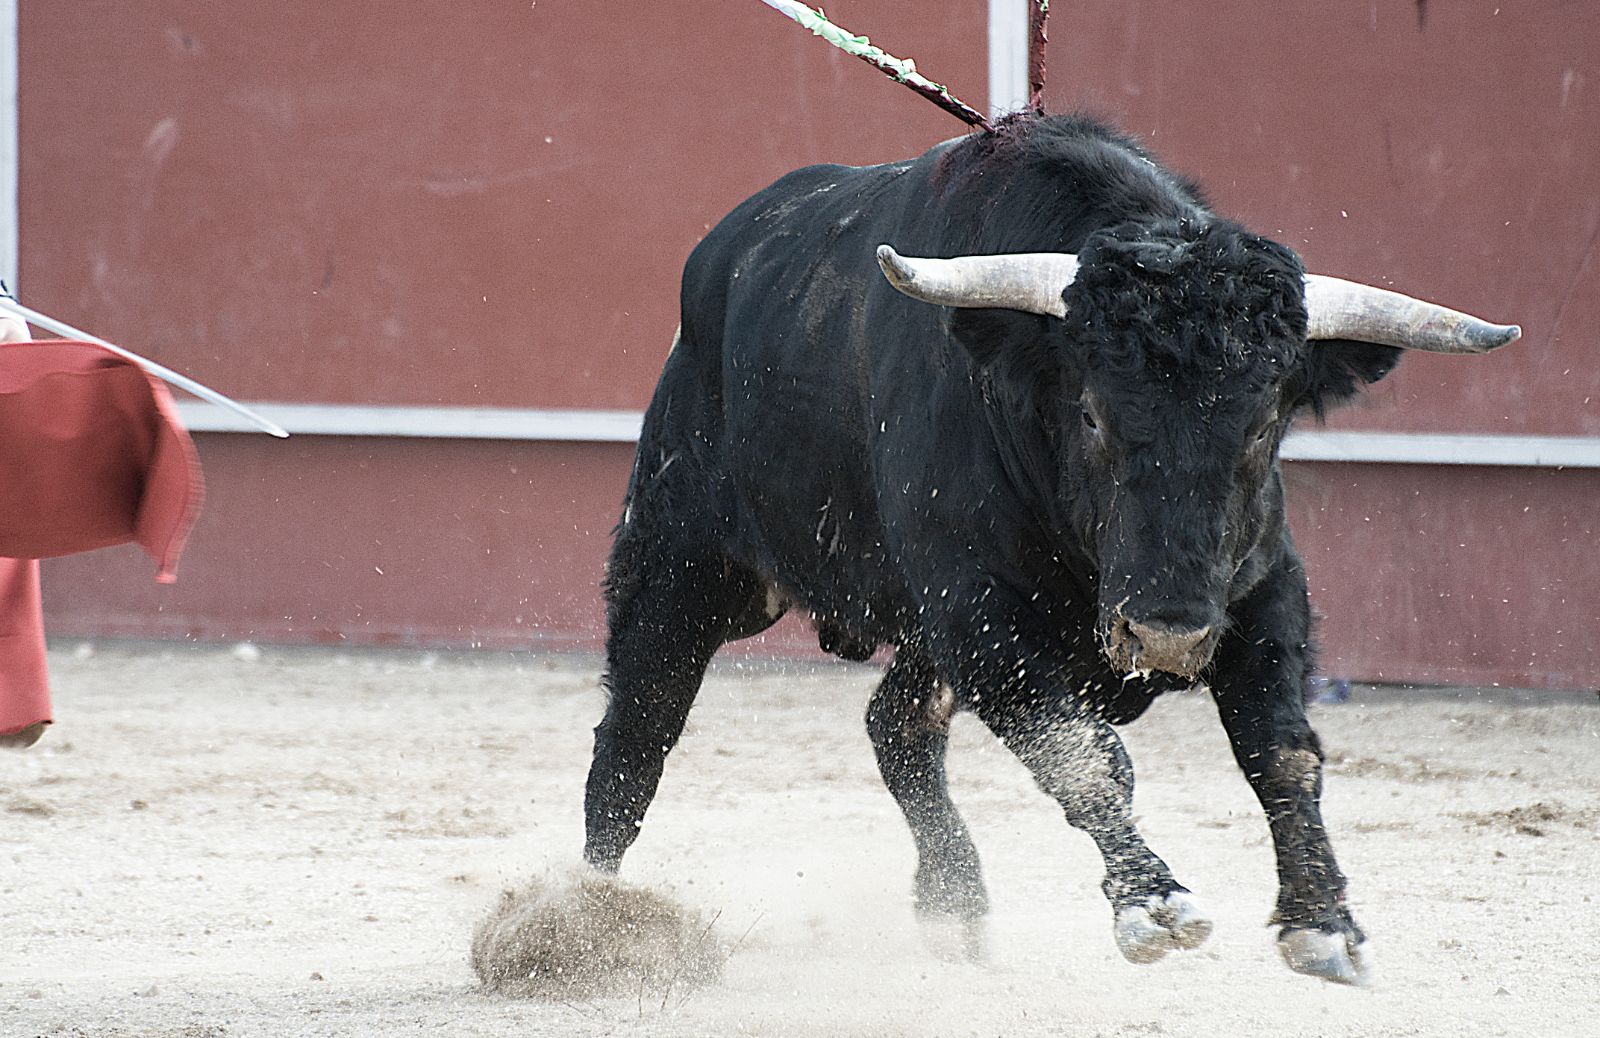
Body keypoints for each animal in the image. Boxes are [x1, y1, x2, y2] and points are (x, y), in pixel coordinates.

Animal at [582, 113, 1516, 978]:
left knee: (896, 723)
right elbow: (1085, 757)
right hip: (684, 564)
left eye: (1263, 425)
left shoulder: (1262, 590)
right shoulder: (981, 618)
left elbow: (1282, 751)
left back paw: (955, 905)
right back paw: (585, 927)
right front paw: (1153, 903)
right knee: (634, 740)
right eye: (1093, 413)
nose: (1166, 634)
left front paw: (1323, 922)